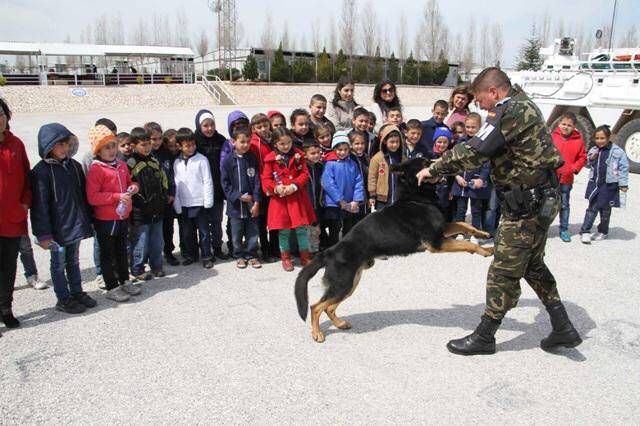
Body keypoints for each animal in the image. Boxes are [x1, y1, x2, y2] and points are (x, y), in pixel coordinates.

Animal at [296, 156, 496, 342]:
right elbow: (467, 244)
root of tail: (329, 252)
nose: (444, 163)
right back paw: (317, 334)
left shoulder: (442, 231)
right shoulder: (436, 243)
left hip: (351, 283)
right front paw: (485, 251)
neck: (416, 198)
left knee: (329, 307)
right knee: (316, 307)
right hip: (343, 284)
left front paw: (483, 234)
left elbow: (463, 224)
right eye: (425, 162)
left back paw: (340, 324)